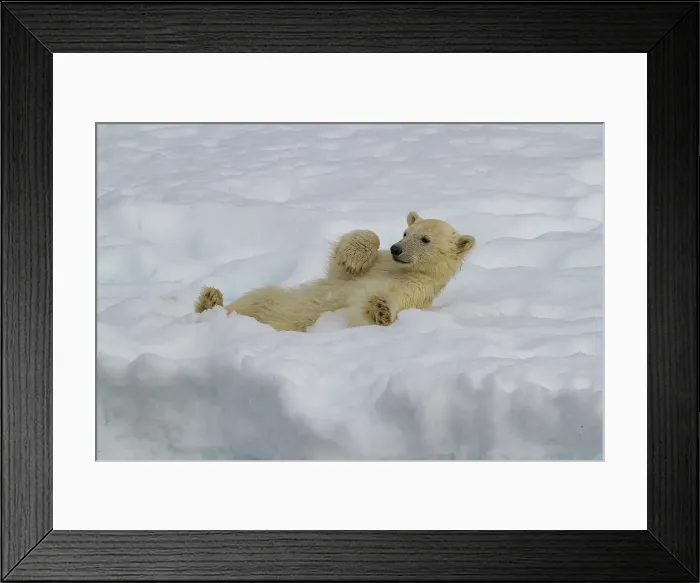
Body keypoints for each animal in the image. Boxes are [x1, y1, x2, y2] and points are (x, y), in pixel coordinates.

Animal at [193, 211, 475, 332]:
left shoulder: (419, 287)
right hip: (268, 298)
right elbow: (342, 268)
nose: (396, 249)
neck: (399, 269)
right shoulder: (373, 267)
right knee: (252, 300)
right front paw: (355, 256)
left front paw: (380, 309)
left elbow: (396, 298)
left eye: (425, 239)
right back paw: (210, 299)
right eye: (406, 232)